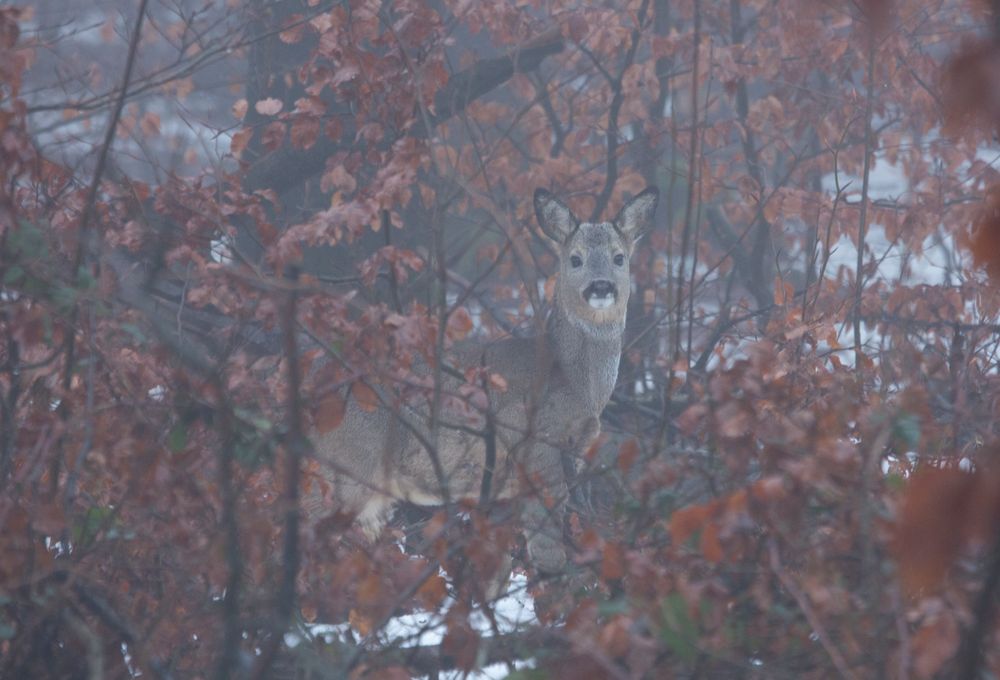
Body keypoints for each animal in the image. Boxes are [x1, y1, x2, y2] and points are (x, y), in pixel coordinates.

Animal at [308, 186, 660, 572]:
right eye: (575, 259)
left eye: (619, 257)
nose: (601, 287)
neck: (573, 381)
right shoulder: (536, 448)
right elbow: (548, 552)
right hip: (347, 466)